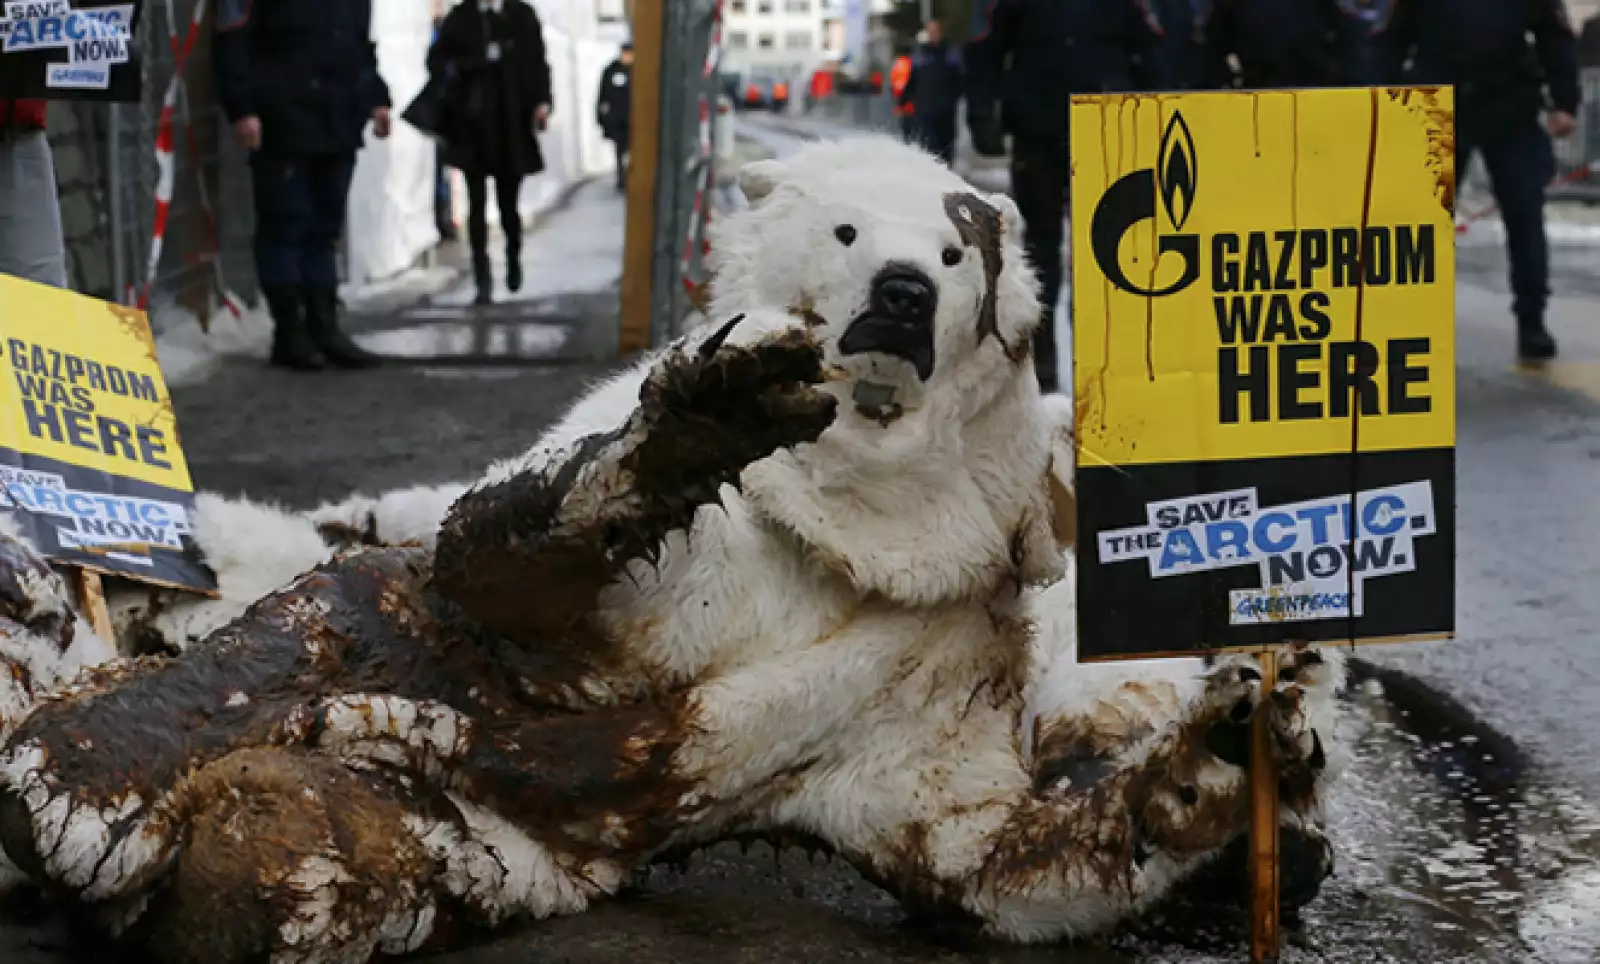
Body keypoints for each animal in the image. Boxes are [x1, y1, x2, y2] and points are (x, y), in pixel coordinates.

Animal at [0, 136, 1343, 964]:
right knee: (315, 627)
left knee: (309, 848)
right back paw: (75, 776)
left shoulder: (937, 638)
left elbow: (979, 848)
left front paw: (1235, 753)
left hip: (487, 830)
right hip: (378, 645)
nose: (904, 291)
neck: (872, 518)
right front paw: (708, 412)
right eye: (847, 231)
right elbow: (516, 557)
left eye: (958, 248)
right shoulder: (730, 544)